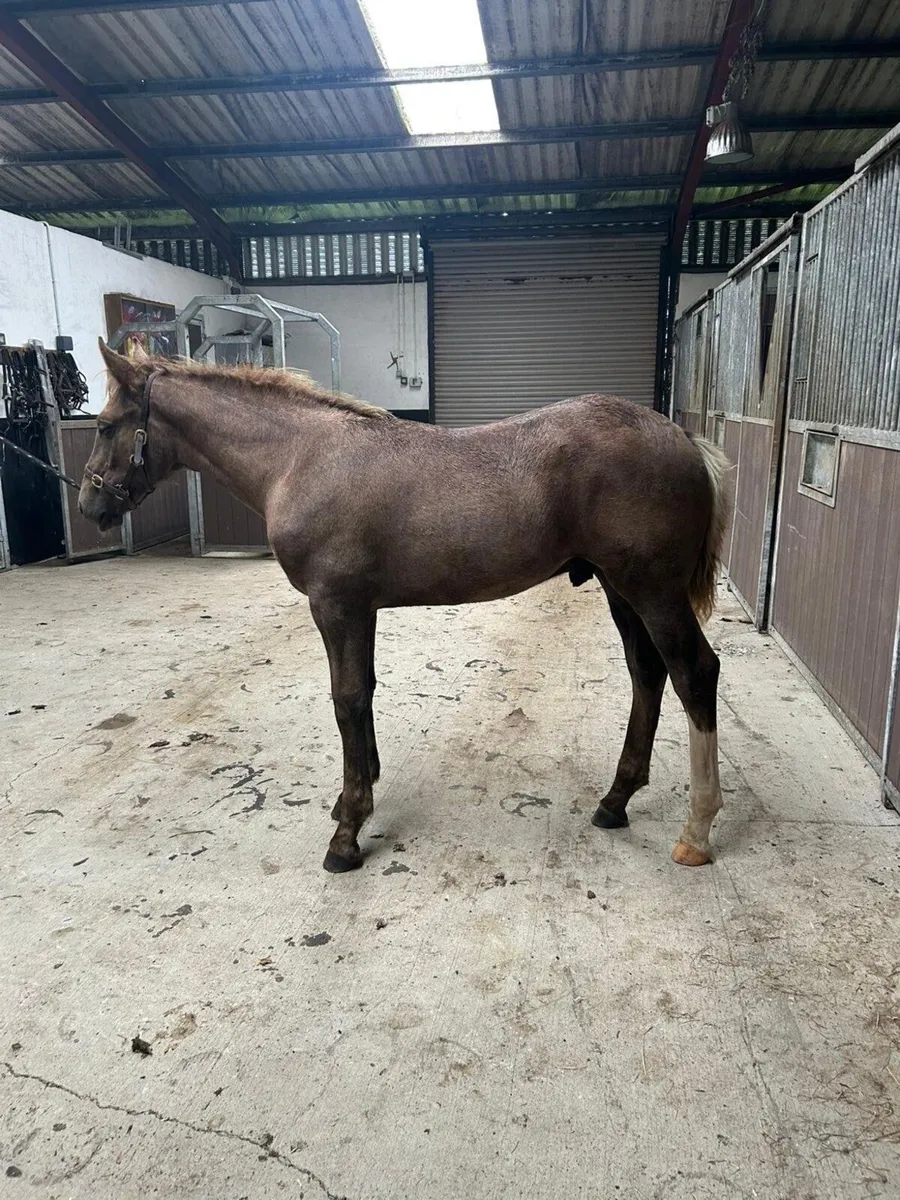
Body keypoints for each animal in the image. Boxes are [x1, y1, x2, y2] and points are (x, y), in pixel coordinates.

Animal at [80, 342, 730, 875]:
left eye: (107, 426)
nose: (89, 505)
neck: (300, 457)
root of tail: (684, 440)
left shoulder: (335, 606)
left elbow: (345, 699)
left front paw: (347, 834)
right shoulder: (358, 609)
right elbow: (363, 691)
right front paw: (354, 796)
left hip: (653, 591)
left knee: (694, 674)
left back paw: (697, 831)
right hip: (622, 591)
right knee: (647, 675)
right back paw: (615, 801)